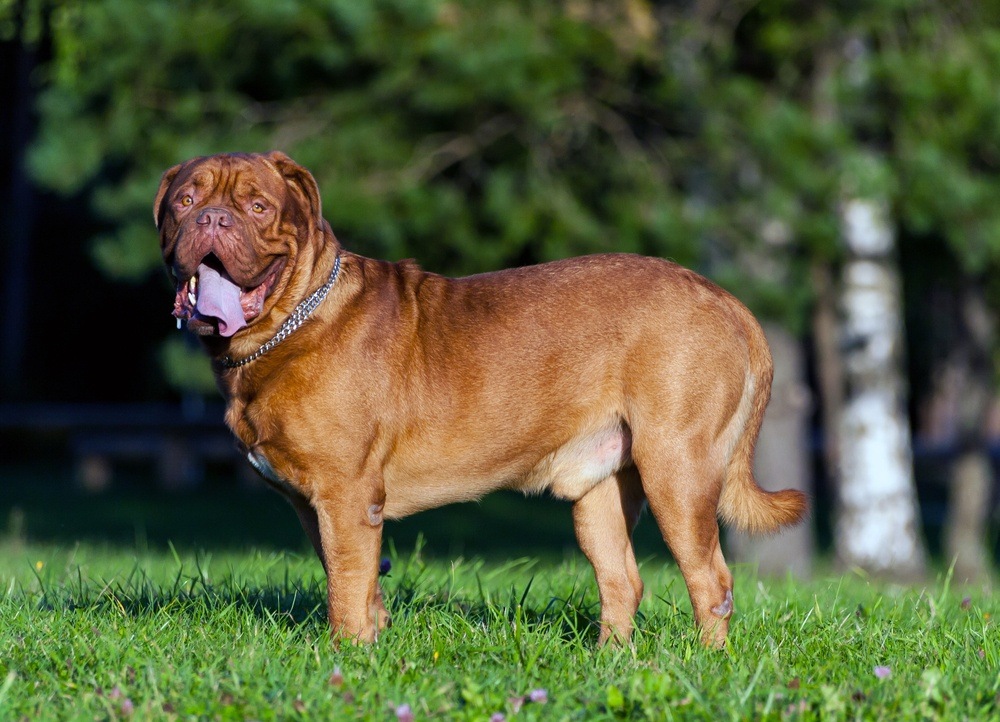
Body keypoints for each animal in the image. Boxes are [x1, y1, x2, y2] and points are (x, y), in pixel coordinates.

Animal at [158, 149, 812, 644]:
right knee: (622, 579)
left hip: (678, 469)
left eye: (258, 207)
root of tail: (725, 298)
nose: (211, 220)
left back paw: (704, 664)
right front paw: (373, 641)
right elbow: (356, 582)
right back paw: (610, 661)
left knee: (711, 581)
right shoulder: (314, 508)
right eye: (185, 202)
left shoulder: (345, 497)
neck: (290, 323)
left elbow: (345, 587)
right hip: (600, 491)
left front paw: (345, 657)